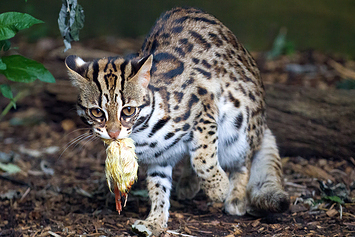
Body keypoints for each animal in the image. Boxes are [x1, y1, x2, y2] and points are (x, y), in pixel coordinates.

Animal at [65, 6, 290, 236]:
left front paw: (219, 189)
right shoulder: (159, 157)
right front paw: (155, 220)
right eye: (97, 112)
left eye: (128, 110)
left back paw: (235, 197)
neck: (142, 132)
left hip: (240, 125)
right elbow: (158, 186)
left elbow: (203, 159)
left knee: (244, 161)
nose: (113, 133)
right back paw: (189, 183)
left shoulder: (204, 107)